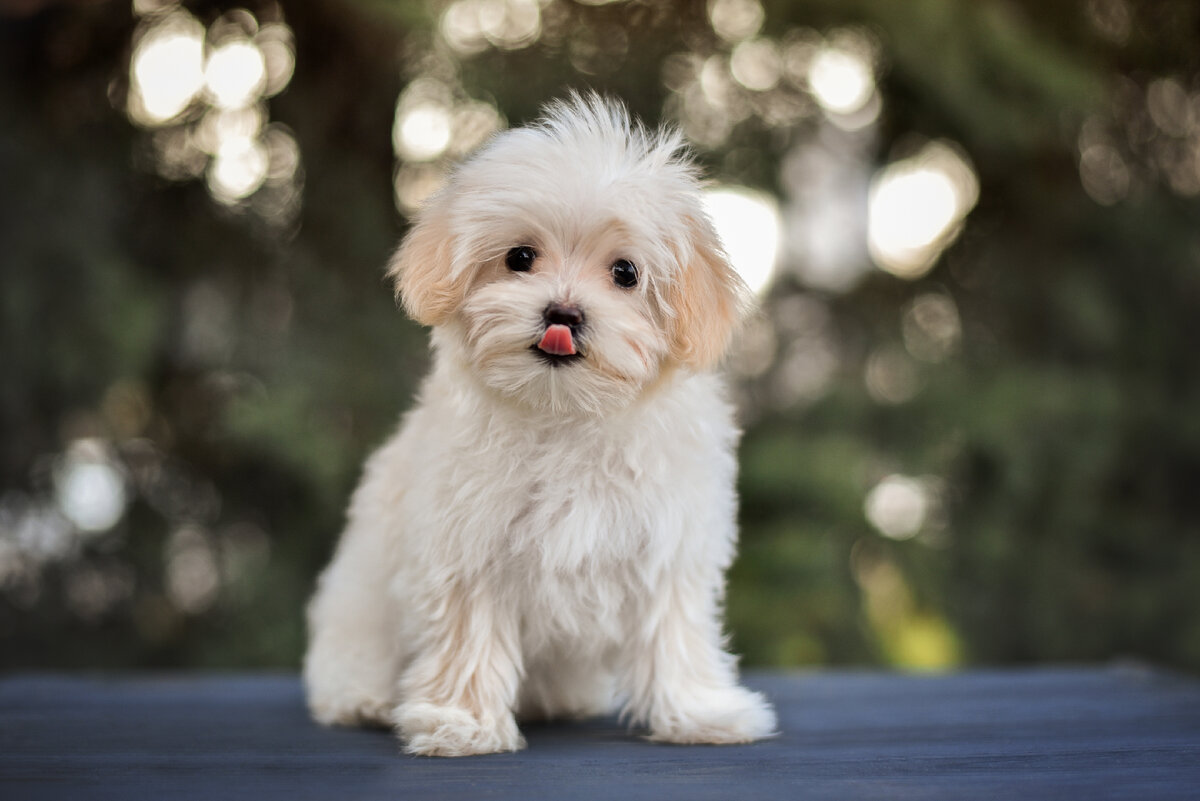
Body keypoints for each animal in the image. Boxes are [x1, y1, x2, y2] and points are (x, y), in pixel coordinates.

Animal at [302, 94, 777, 757]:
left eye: (625, 273)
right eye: (520, 258)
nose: (563, 313)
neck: (566, 413)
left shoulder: (667, 545)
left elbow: (673, 632)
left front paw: (700, 712)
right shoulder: (469, 545)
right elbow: (469, 635)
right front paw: (461, 723)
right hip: (356, 613)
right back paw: (365, 700)